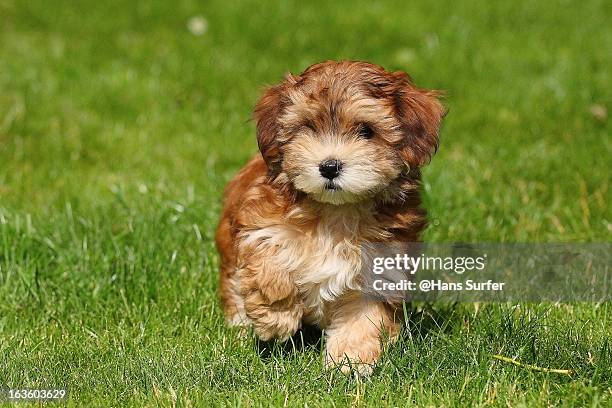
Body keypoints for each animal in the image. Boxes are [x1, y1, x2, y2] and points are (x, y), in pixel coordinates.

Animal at [216, 60, 444, 376]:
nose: (330, 166)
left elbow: (364, 319)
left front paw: (350, 361)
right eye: (309, 127)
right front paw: (276, 318)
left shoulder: (382, 268)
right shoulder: (261, 223)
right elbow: (271, 259)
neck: (336, 213)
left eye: (366, 131)